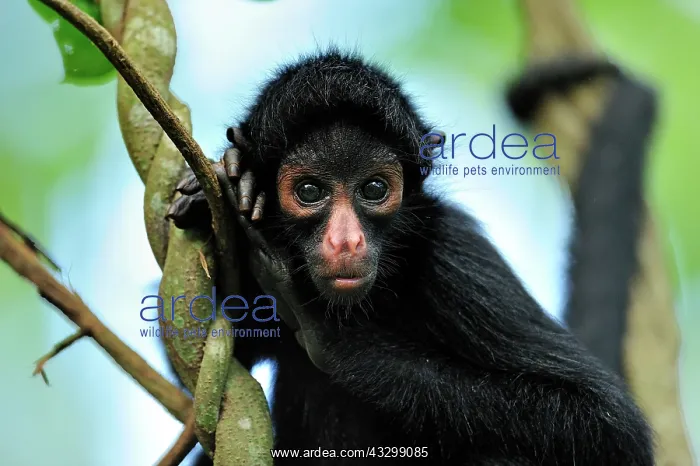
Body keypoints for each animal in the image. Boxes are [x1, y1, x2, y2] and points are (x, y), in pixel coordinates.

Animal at [166, 50, 655, 465]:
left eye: (374, 189)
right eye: (308, 191)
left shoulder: (454, 256)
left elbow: (612, 424)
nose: (346, 241)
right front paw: (216, 185)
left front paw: (336, 336)